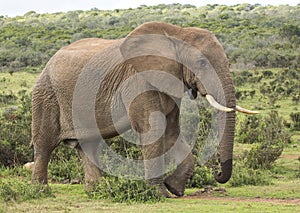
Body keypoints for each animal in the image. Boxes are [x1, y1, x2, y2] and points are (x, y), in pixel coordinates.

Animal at [30, 21, 256, 196]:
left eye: (229, 63)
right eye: (201, 62)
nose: (217, 173)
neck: (177, 33)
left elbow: (171, 131)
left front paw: (174, 188)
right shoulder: (138, 81)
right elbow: (153, 129)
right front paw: (159, 193)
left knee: (89, 145)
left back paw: (97, 191)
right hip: (46, 94)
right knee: (44, 145)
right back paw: (41, 191)